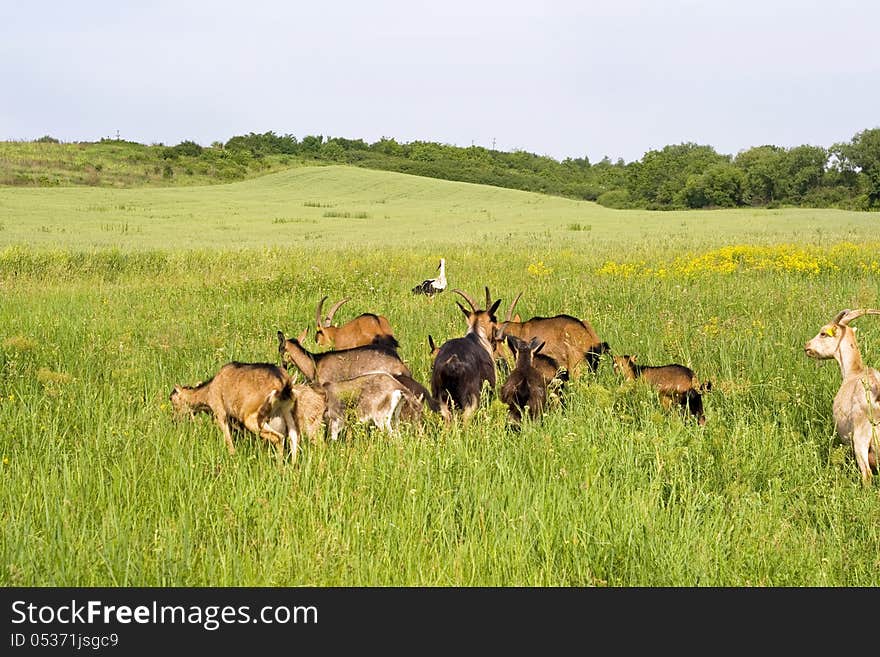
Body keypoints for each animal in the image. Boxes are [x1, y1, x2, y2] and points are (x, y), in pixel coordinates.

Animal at [168, 362, 300, 458]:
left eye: (173, 401)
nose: (174, 420)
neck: (209, 390)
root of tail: (283, 383)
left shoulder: (220, 413)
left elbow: (229, 441)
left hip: (253, 418)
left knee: (279, 438)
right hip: (288, 411)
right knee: (294, 437)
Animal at [432, 288, 502, 420]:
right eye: (494, 322)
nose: (495, 344)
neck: (477, 334)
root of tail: (452, 363)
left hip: (442, 401)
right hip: (470, 401)